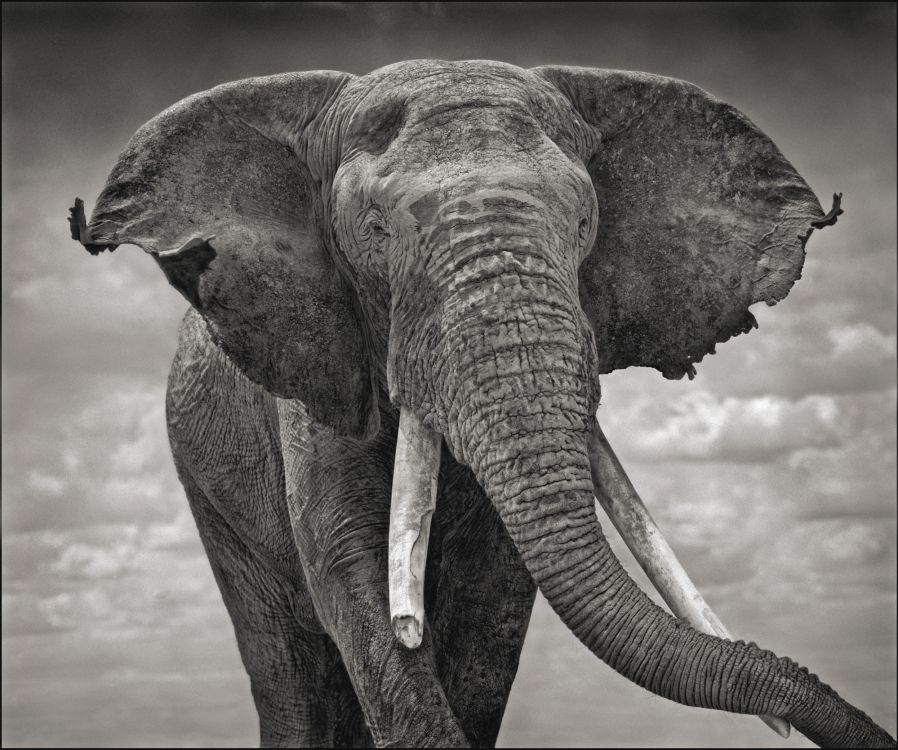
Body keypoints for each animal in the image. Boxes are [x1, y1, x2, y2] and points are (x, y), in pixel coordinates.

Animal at [68, 59, 895, 748]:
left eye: (585, 224)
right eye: (374, 233)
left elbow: (494, 602)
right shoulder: (317, 366)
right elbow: (351, 572)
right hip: (211, 490)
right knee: (289, 673)